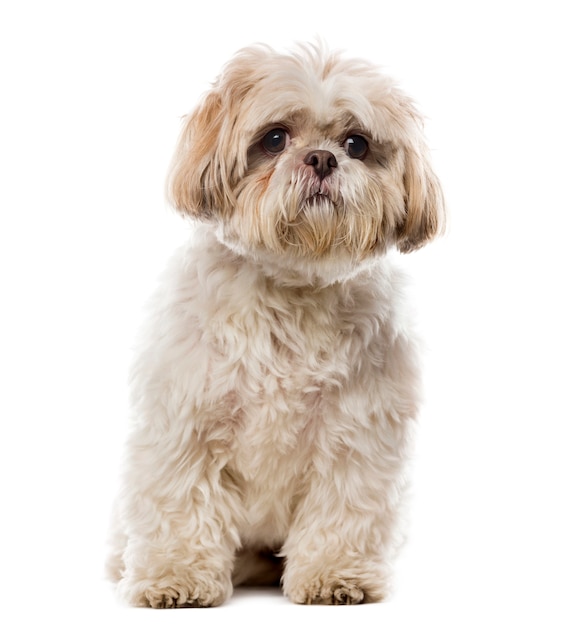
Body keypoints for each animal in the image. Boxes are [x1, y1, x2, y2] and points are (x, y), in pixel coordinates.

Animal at [105, 42, 444, 604]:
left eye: (356, 144)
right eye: (275, 138)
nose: (323, 158)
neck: (292, 286)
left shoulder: (358, 436)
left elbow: (344, 510)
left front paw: (335, 575)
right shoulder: (186, 424)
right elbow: (181, 506)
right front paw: (177, 577)